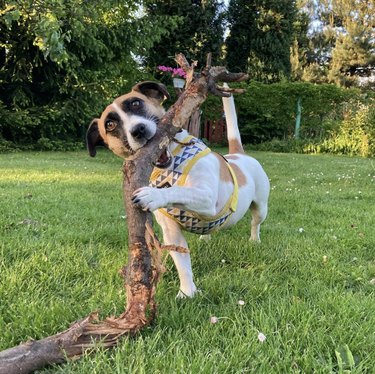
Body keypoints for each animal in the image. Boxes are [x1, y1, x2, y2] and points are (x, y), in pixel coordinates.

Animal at [87, 82, 270, 298]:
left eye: (136, 103)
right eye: (110, 125)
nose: (138, 130)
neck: (170, 167)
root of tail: (239, 154)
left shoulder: (207, 198)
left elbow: (180, 191)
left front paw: (153, 194)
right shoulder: (172, 232)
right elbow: (182, 263)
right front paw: (187, 292)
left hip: (261, 207)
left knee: (255, 223)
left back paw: (254, 240)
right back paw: (205, 237)